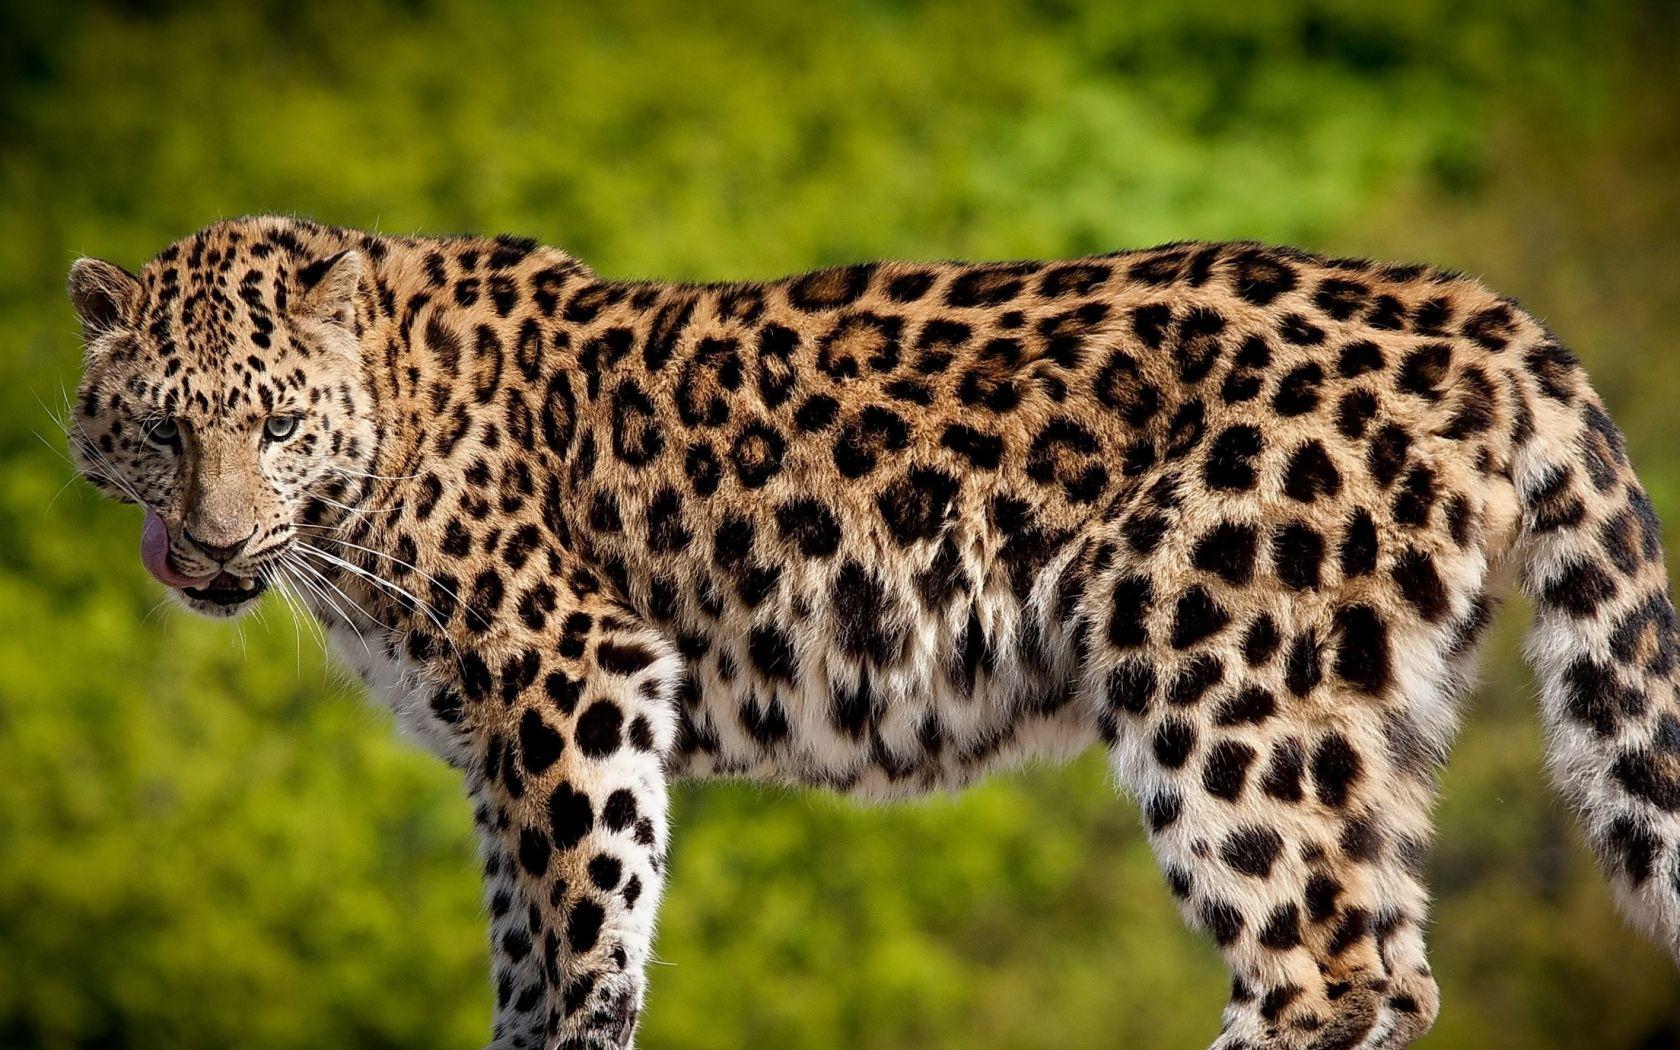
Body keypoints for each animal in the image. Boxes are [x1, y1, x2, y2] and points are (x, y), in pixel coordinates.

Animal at [64, 214, 1680, 1049]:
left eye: (276, 427)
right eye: (160, 428)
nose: (213, 546)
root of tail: (1480, 312)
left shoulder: (576, 682)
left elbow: (589, 939)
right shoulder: (497, 747)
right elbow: (525, 957)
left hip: (1221, 681)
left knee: (1326, 971)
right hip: (1364, 714)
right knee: (1390, 966)